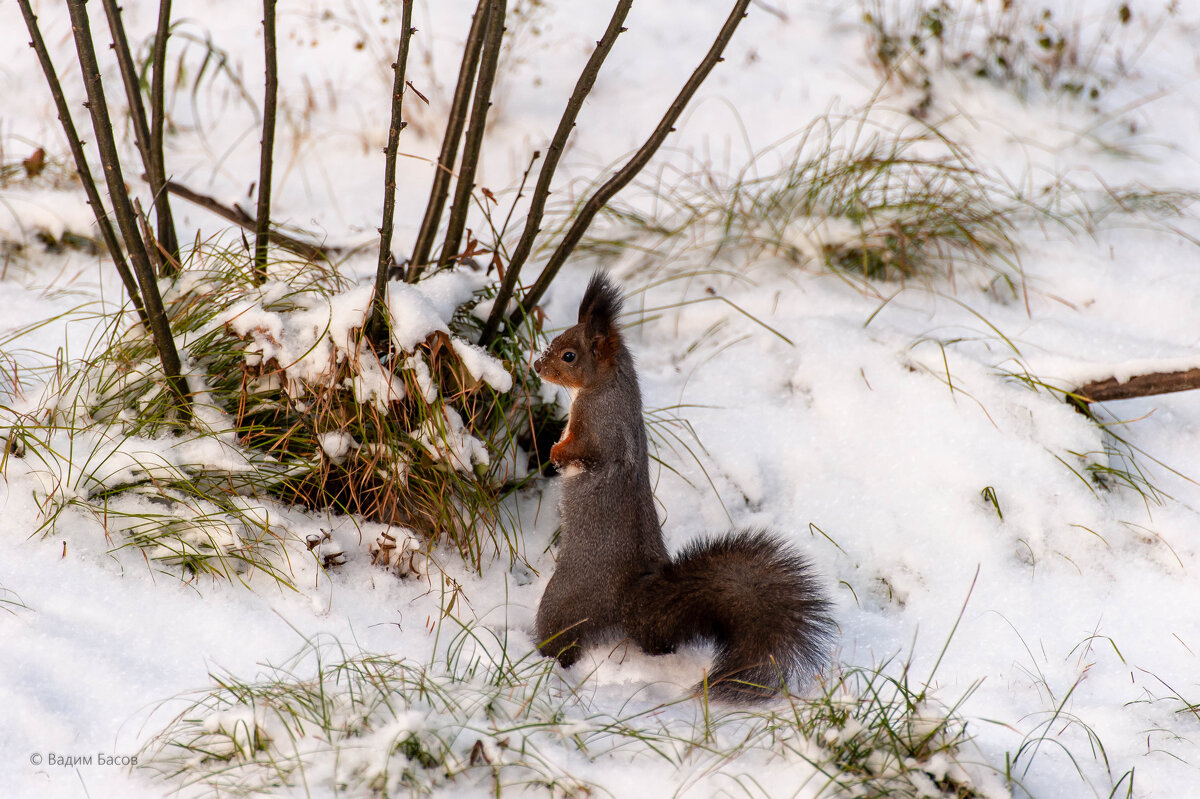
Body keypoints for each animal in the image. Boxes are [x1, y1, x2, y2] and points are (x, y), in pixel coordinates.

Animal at [535, 271, 835, 700]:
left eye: (569, 356)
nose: (537, 366)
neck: (605, 388)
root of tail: (630, 603)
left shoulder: (601, 429)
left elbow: (586, 452)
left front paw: (557, 453)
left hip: (561, 607)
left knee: (560, 644)